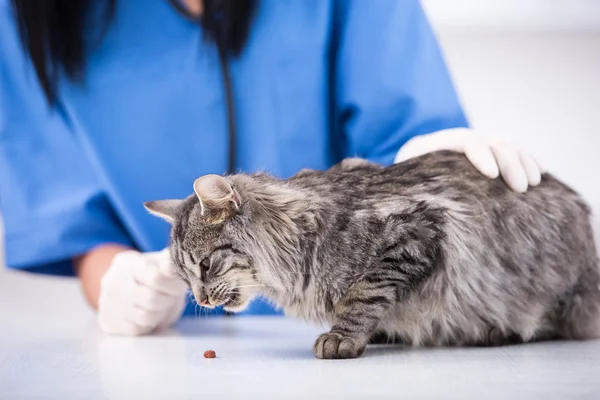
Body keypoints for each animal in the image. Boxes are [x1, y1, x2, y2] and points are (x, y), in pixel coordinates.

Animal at [145, 150, 600, 360]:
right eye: (186, 279)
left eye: (206, 265)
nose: (202, 300)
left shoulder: (416, 231)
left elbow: (364, 295)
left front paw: (343, 336)